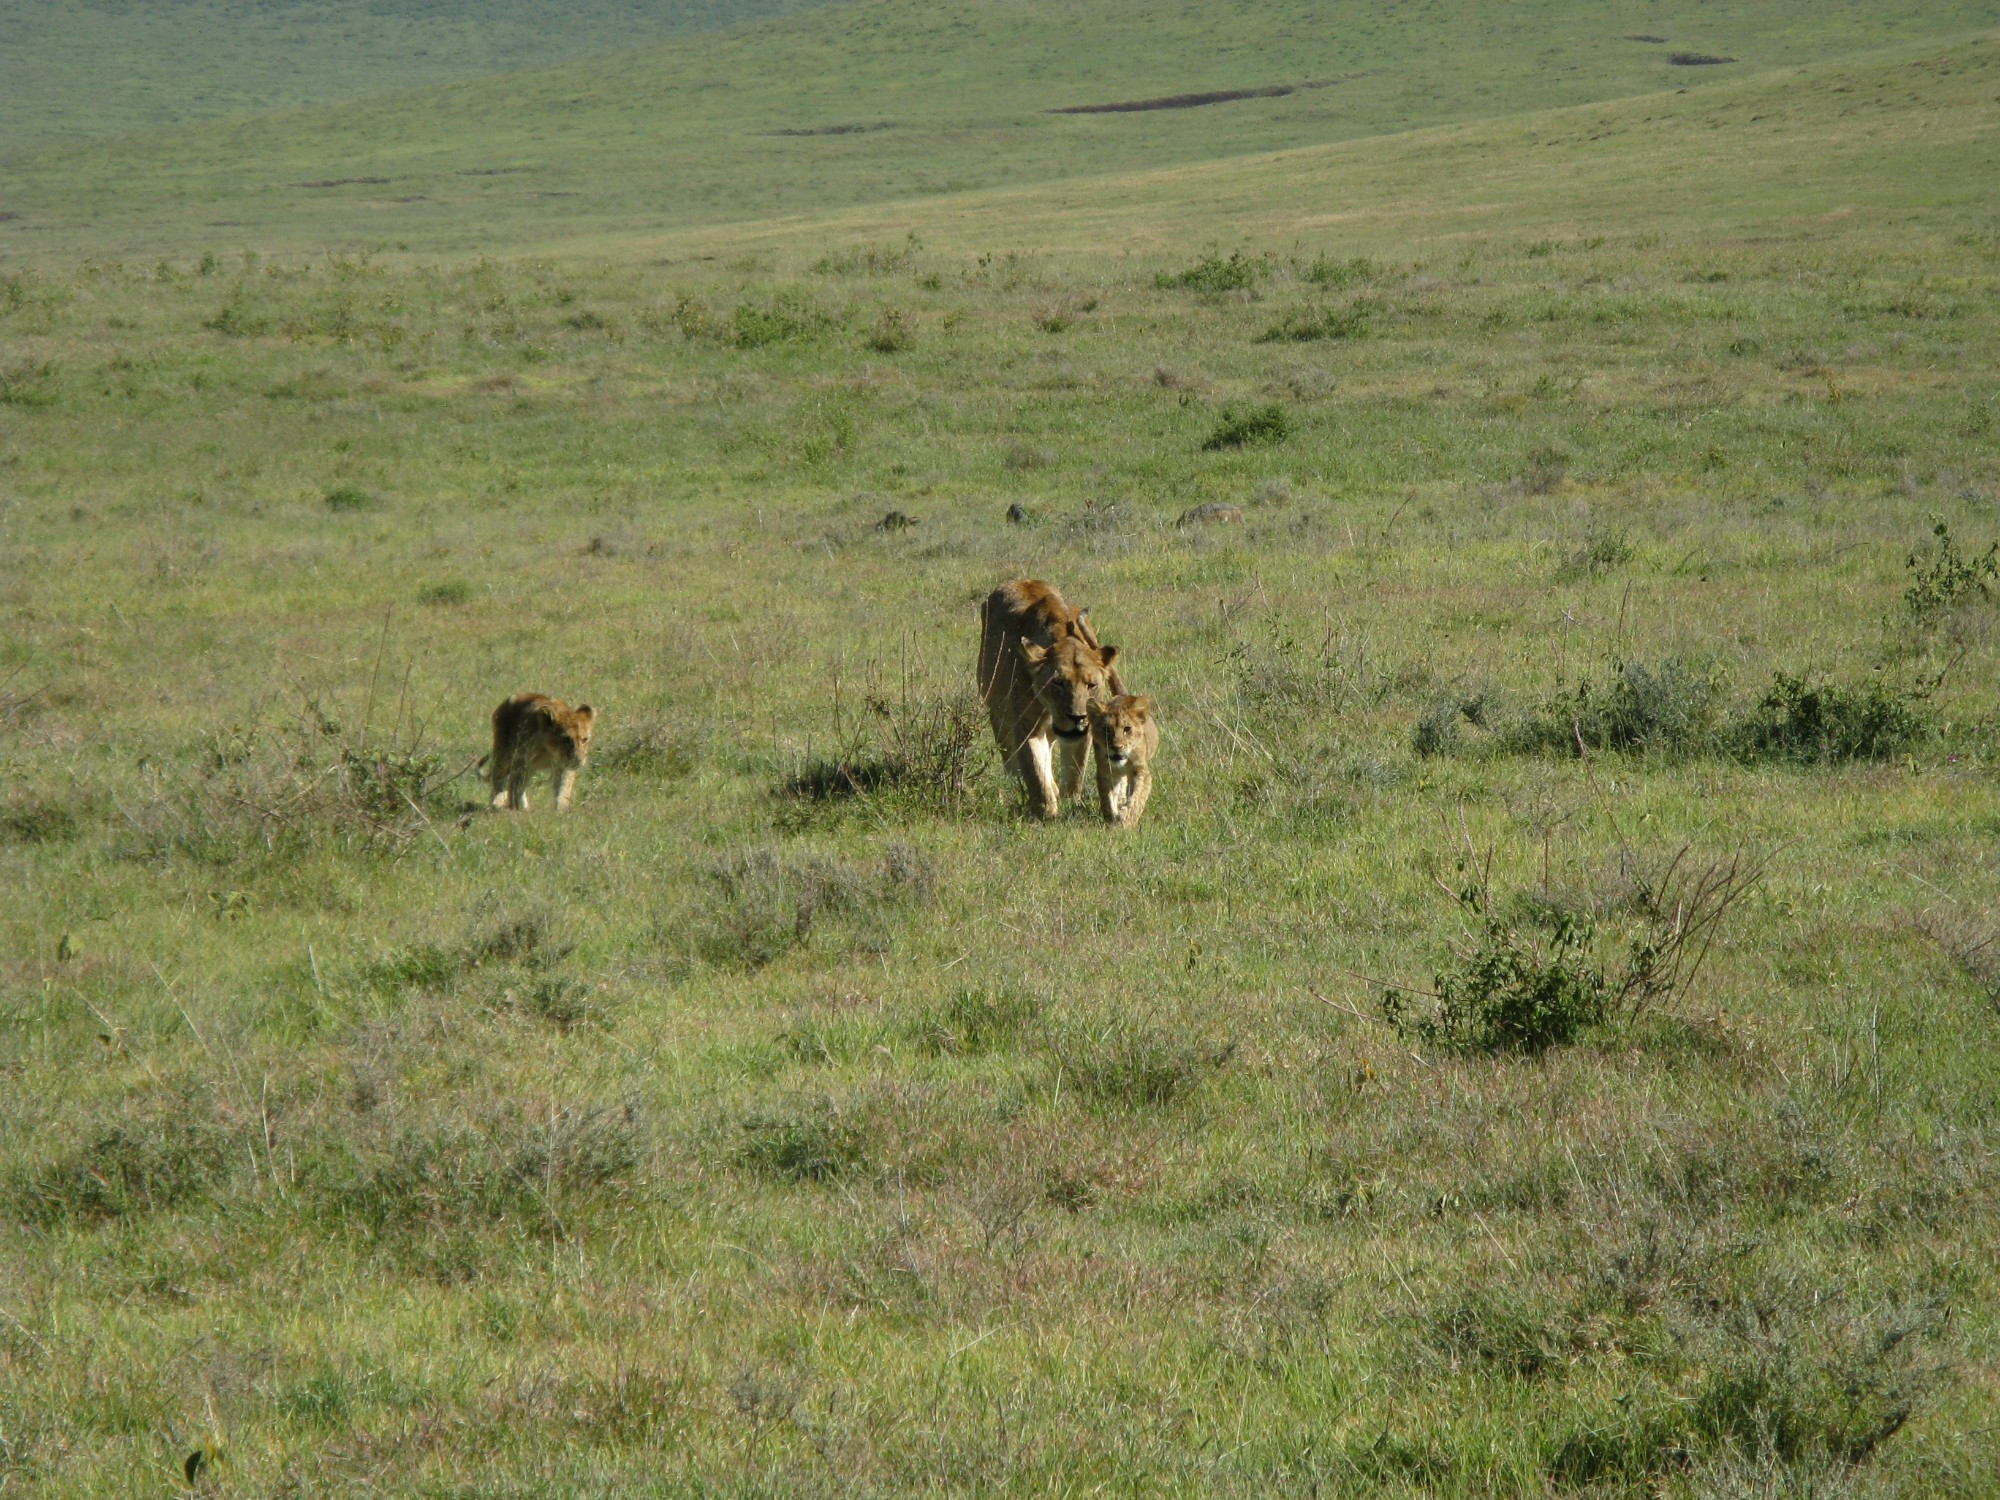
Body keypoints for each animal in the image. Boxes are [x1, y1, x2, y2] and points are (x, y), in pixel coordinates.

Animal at [976, 580, 1120, 824]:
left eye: (1091, 685)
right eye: (1058, 683)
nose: (1077, 717)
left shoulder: (1085, 731)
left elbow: (1075, 773)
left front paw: (1071, 803)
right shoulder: (1026, 728)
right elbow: (1036, 775)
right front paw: (1047, 814)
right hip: (998, 712)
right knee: (1011, 758)